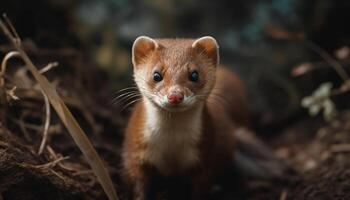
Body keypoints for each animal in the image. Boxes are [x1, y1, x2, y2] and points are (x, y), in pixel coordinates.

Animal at [121, 36, 250, 200]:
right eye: (156, 75)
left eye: (194, 74)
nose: (175, 95)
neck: (171, 146)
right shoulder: (135, 151)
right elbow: (138, 182)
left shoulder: (204, 155)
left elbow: (200, 187)